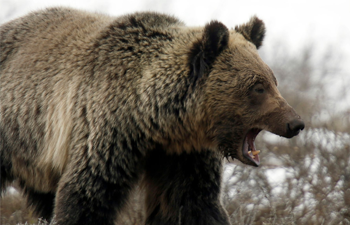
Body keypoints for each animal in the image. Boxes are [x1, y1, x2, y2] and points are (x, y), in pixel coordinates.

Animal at [0, 6, 304, 225]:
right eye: (258, 87)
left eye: (273, 81)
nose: (295, 123)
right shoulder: (106, 133)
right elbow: (86, 195)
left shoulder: (183, 155)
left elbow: (192, 203)